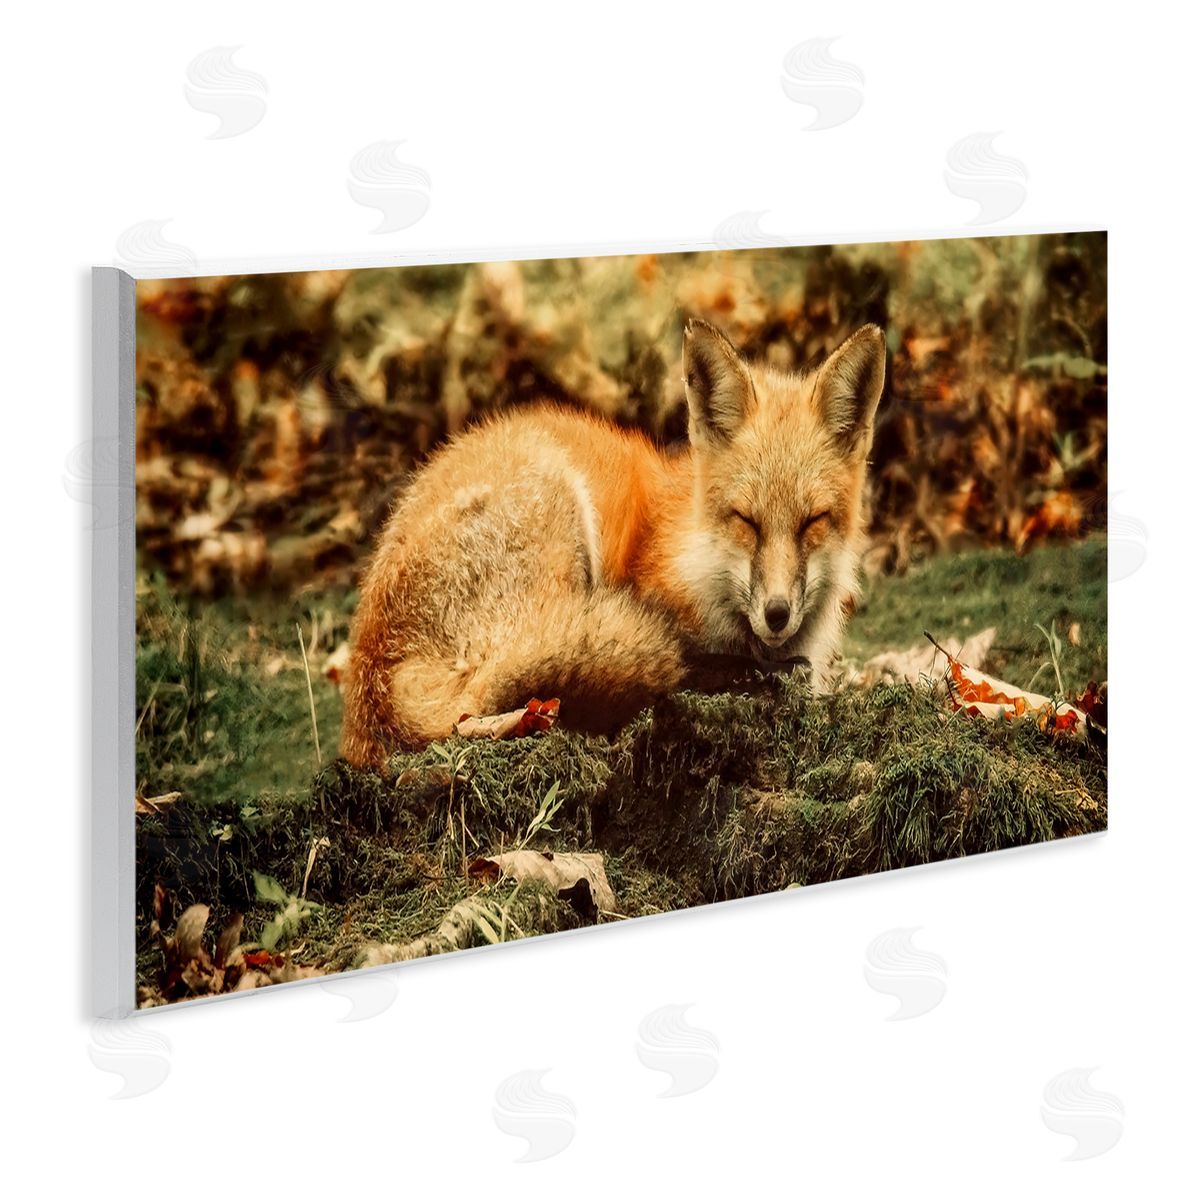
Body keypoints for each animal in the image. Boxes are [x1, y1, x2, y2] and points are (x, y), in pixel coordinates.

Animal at [340, 318, 887, 770]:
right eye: (745, 520)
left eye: (812, 521)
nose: (776, 614)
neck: (699, 562)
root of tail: (372, 678)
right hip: (557, 504)